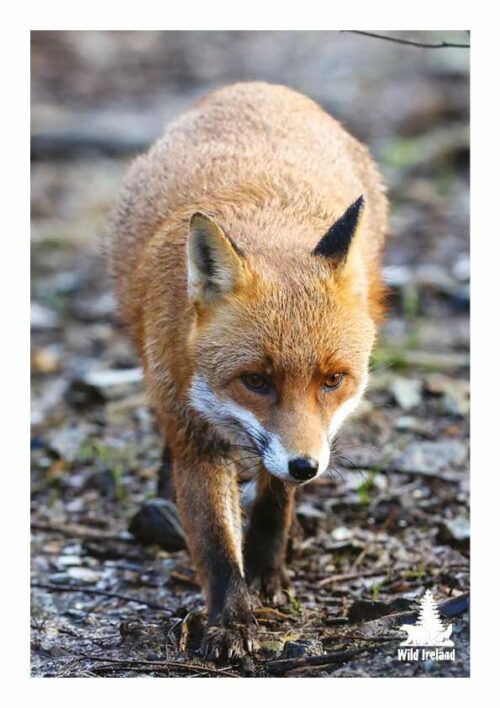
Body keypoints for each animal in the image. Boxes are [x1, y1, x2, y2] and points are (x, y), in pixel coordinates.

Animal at [107, 81, 388, 661]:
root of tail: (256, 87)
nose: (306, 467)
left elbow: (275, 499)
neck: (268, 226)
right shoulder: (194, 432)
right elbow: (215, 543)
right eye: (256, 380)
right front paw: (230, 621)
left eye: (332, 380)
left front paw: (266, 567)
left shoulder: (300, 441)